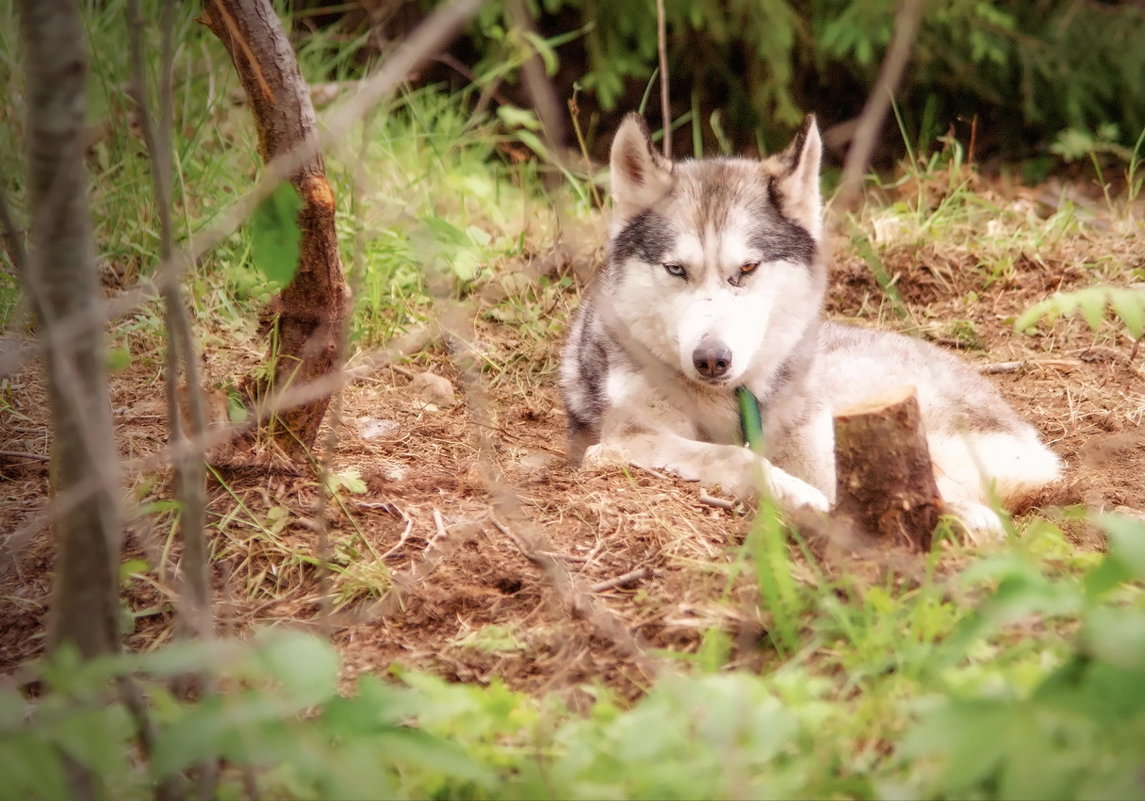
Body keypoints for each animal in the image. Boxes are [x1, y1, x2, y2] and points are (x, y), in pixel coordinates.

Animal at [558, 112, 1057, 537]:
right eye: (676, 269)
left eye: (747, 268)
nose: (711, 360)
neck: (728, 402)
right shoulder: (627, 436)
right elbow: (733, 458)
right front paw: (796, 495)